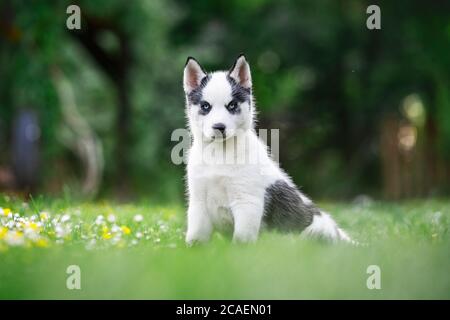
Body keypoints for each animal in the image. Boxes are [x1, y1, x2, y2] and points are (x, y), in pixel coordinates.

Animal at [183, 55, 352, 244]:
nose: (219, 127)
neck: (220, 154)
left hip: (314, 233)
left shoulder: (247, 203)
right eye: (205, 106)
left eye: (232, 105)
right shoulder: (198, 202)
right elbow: (196, 237)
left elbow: (241, 240)